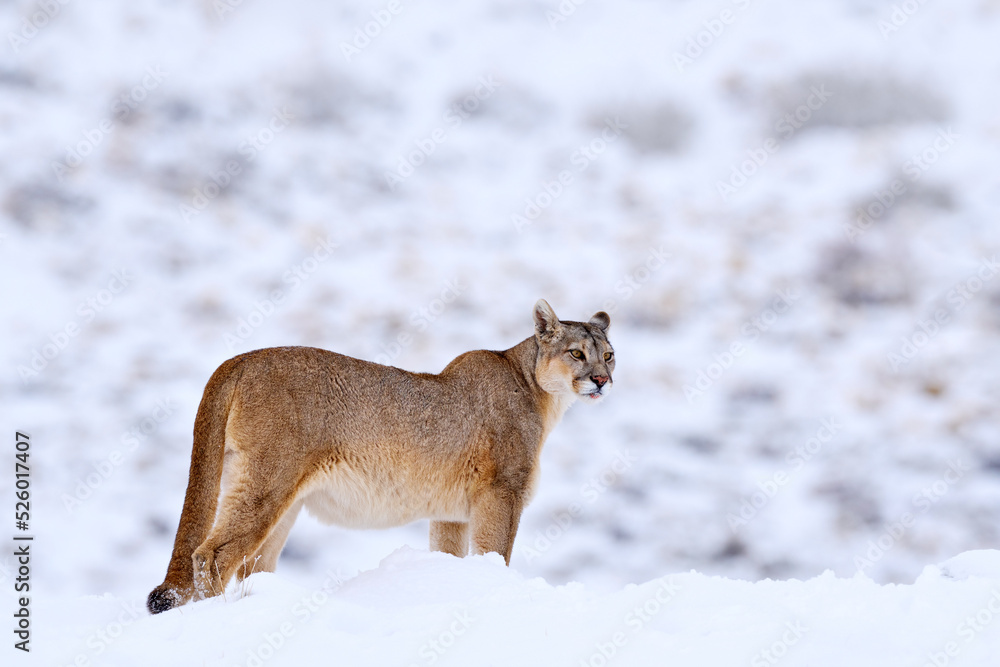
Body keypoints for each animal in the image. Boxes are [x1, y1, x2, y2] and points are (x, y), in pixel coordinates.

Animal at [146, 300, 608, 612]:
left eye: (608, 354)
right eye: (576, 353)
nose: (603, 380)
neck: (539, 392)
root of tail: (241, 357)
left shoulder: (453, 512)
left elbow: (450, 555)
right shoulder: (503, 493)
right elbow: (495, 555)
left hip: (276, 498)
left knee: (250, 565)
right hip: (268, 482)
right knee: (211, 555)